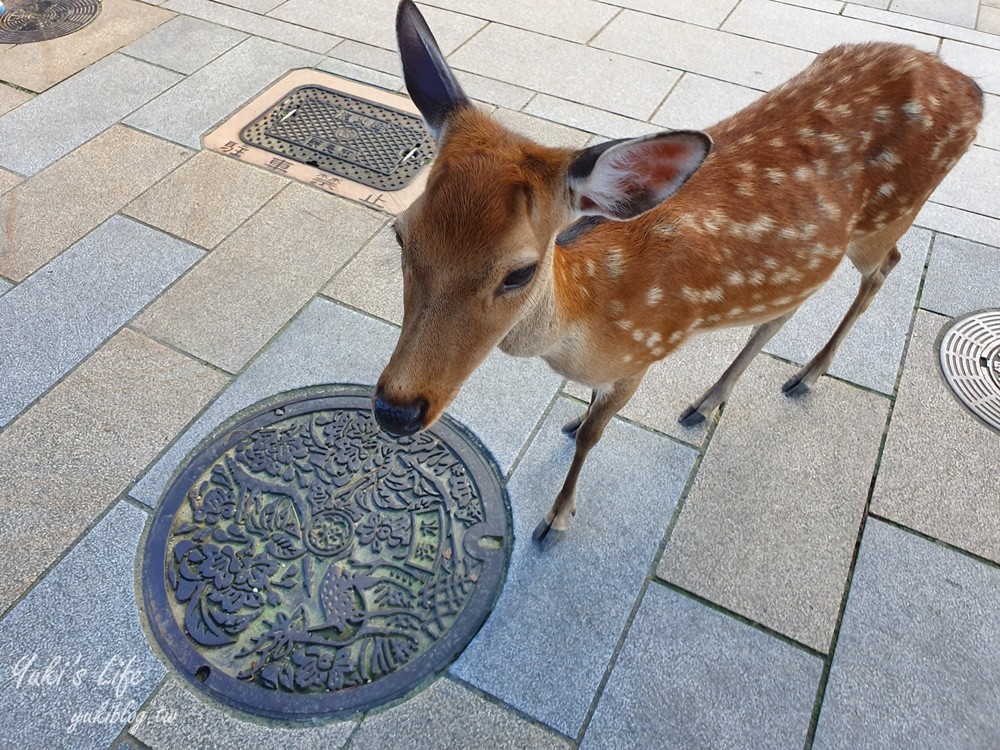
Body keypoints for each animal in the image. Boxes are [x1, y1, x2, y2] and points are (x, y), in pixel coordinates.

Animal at [376, 1, 984, 552]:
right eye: (401, 233)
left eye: (519, 271)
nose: (395, 409)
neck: (586, 324)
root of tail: (971, 90)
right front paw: (573, 420)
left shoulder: (644, 352)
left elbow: (594, 435)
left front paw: (556, 518)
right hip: (817, 254)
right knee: (789, 304)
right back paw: (706, 401)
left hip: (887, 218)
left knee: (886, 266)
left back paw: (805, 376)